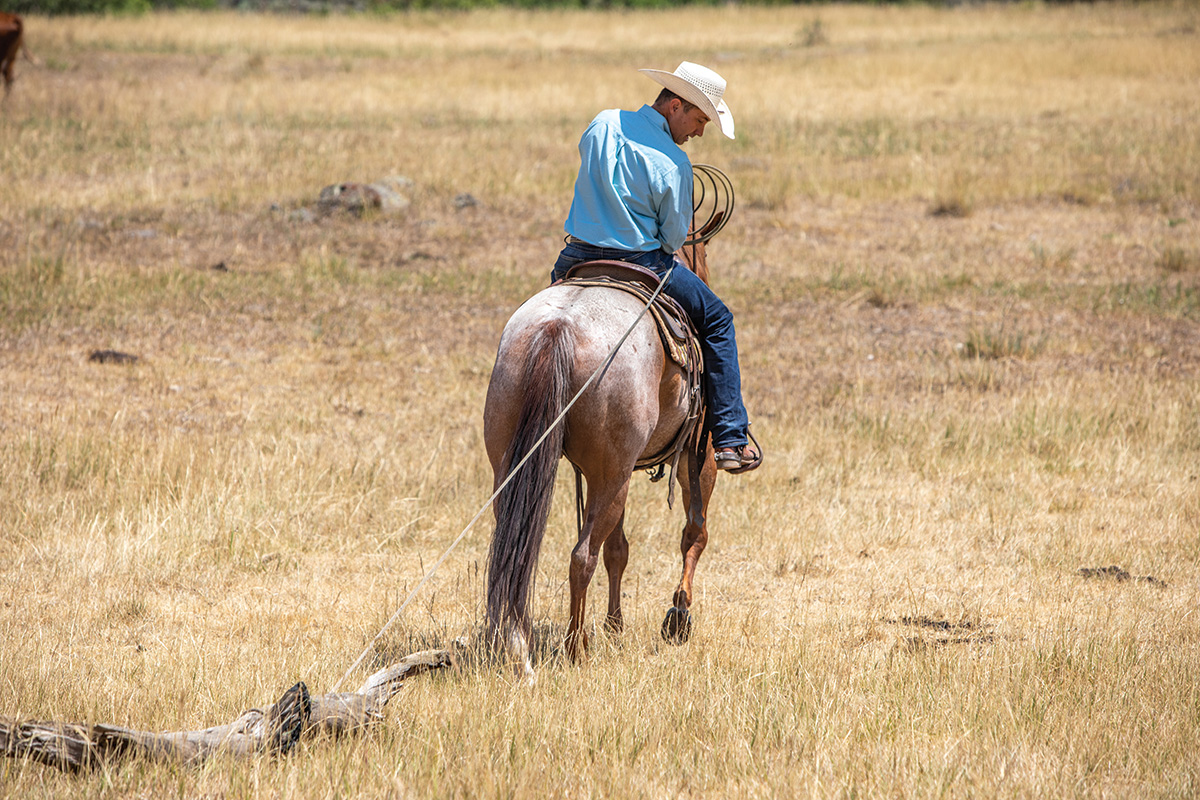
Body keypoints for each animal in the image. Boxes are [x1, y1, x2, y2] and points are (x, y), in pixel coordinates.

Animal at [480, 235, 720, 681]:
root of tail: (558, 328)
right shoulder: (699, 454)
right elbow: (694, 532)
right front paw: (679, 614)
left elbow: (619, 550)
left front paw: (615, 625)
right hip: (613, 476)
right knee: (582, 556)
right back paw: (575, 647)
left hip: (520, 468)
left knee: (514, 552)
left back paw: (518, 647)